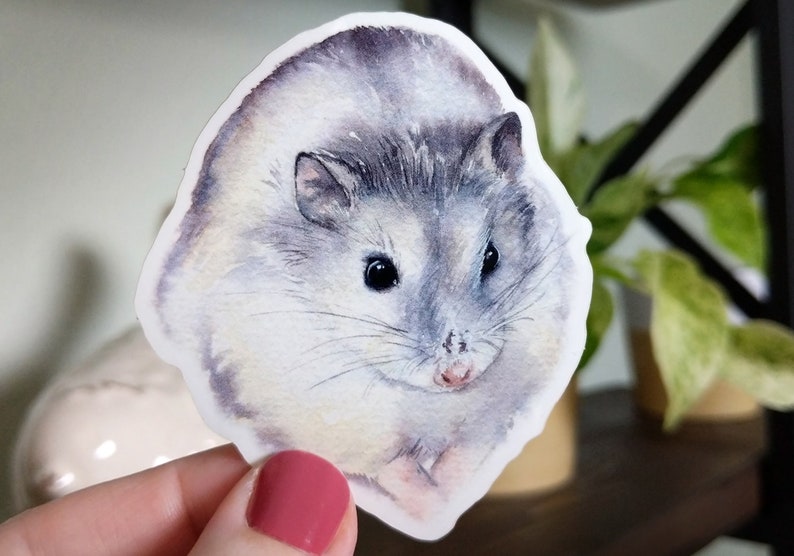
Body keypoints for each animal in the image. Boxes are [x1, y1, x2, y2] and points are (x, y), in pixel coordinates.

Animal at [138, 14, 591, 539]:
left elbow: (467, 452)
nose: (457, 375)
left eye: (493, 257)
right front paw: (424, 505)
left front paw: (441, 497)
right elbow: (391, 467)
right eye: (377, 273)